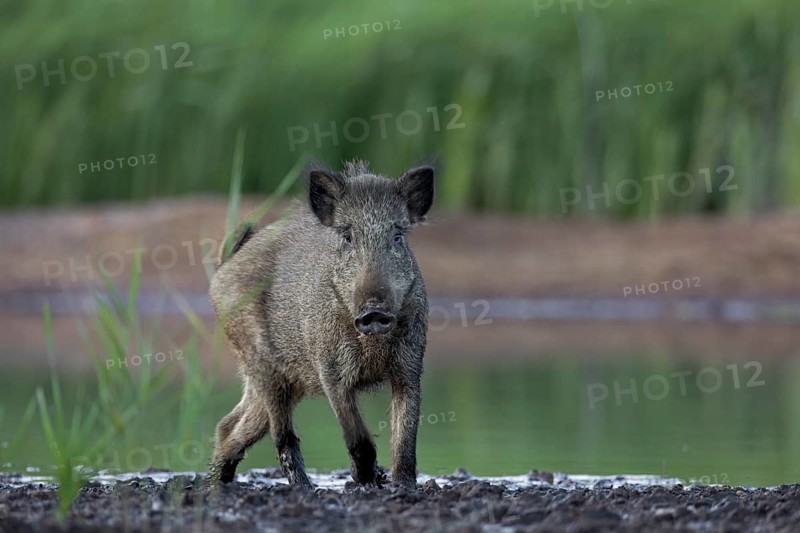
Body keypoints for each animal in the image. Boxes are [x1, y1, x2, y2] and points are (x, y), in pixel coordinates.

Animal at [206, 160, 433, 489]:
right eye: (347, 236)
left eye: (398, 235)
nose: (374, 311)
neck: (372, 345)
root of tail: (226, 265)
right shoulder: (330, 371)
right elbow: (358, 438)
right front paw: (367, 482)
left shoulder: (410, 367)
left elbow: (405, 438)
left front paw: (403, 487)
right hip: (262, 365)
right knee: (281, 436)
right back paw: (305, 489)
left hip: (279, 382)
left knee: (231, 427)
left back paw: (217, 484)